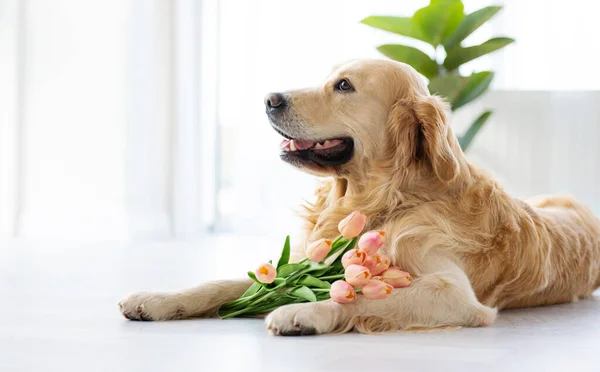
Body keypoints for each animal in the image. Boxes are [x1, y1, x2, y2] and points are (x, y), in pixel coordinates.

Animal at [119, 59, 600, 336]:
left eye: (344, 86)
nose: (270, 98)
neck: (384, 200)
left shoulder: (454, 293)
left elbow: (361, 295)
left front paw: (302, 313)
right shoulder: (303, 260)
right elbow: (223, 283)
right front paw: (159, 299)